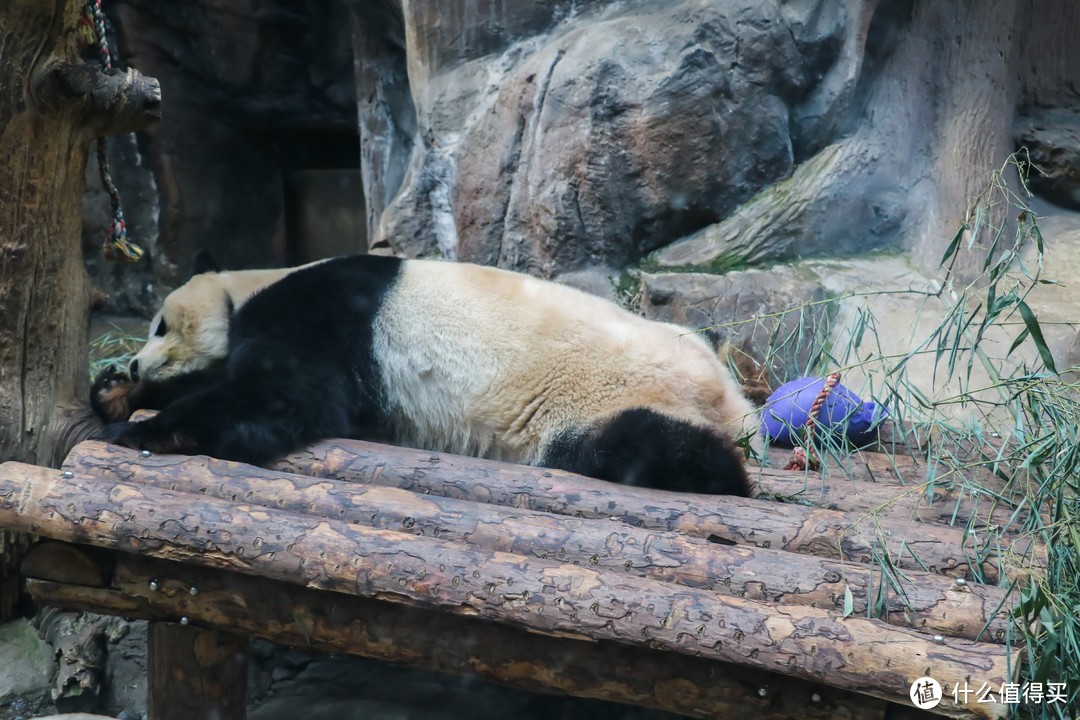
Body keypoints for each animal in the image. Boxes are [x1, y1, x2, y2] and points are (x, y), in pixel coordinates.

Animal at [97, 252, 764, 496]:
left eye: (160, 325)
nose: (133, 359)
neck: (249, 286)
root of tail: (734, 404)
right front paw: (116, 392)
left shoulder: (325, 316)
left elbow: (284, 398)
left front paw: (149, 429)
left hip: (602, 400)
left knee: (646, 446)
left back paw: (707, 468)